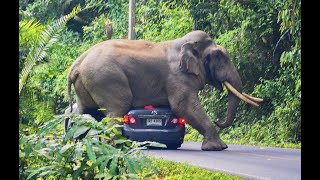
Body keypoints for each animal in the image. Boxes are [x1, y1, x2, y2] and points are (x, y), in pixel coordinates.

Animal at [67, 29, 262, 150]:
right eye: (220, 57)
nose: (218, 119)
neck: (183, 43)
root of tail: (77, 63)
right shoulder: (178, 77)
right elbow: (183, 106)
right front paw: (218, 148)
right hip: (106, 79)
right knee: (116, 109)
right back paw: (115, 147)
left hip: (88, 84)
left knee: (87, 113)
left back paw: (76, 146)